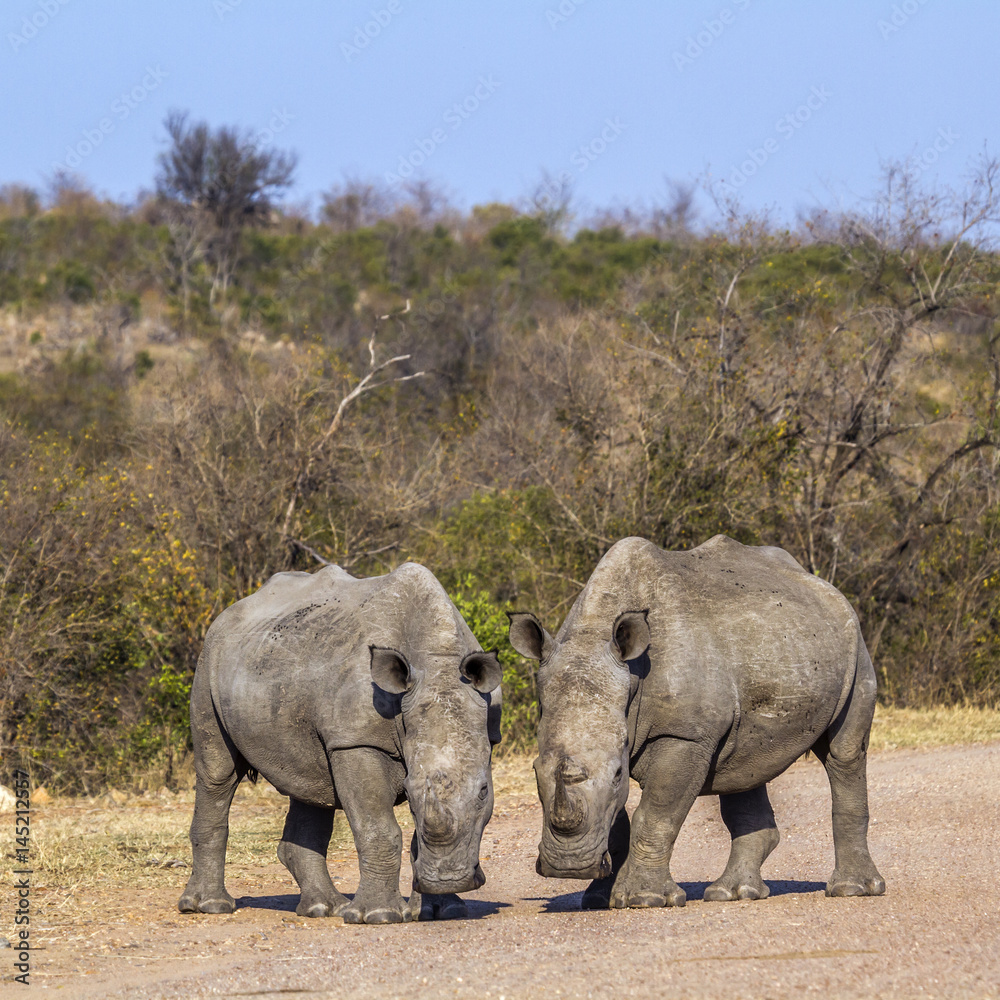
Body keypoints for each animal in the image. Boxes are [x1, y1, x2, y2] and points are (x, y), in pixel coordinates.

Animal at [178, 562, 502, 924]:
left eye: (484, 792)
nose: (450, 879)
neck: (439, 663)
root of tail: (227, 613)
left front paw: (443, 909)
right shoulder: (354, 740)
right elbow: (377, 827)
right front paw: (379, 916)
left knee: (309, 782)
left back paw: (324, 908)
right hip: (208, 661)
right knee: (218, 774)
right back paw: (209, 907)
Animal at [508, 535, 885, 910]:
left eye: (617, 773)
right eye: (535, 770)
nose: (567, 867)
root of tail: (823, 585)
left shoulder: (685, 735)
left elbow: (655, 814)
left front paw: (644, 899)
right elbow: (617, 818)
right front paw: (598, 899)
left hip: (854, 644)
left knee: (843, 753)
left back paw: (853, 890)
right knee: (745, 767)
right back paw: (733, 894)